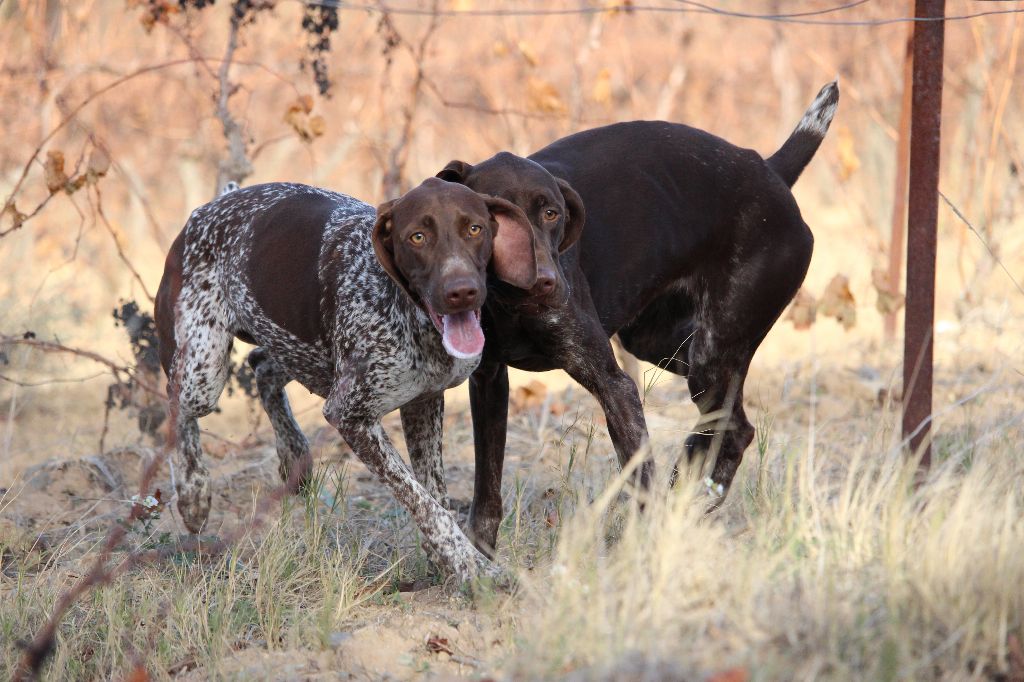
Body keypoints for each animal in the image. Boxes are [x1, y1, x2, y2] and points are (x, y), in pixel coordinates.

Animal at [154, 176, 536, 577]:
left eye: (474, 229)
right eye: (417, 237)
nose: (461, 291)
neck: (410, 314)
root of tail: (213, 205)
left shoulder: (424, 402)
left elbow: (435, 494)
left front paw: (445, 559)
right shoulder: (352, 416)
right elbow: (423, 502)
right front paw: (470, 566)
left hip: (299, 351)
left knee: (262, 365)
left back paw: (293, 453)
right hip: (203, 371)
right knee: (177, 406)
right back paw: (193, 492)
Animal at [440, 80, 839, 552]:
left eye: (551, 214)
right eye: (493, 219)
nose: (546, 283)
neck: (510, 305)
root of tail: (770, 170)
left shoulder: (615, 386)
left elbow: (640, 477)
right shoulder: (488, 382)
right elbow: (487, 484)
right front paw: (478, 554)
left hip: (710, 353)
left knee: (728, 430)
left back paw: (692, 497)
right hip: (671, 347)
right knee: (731, 425)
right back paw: (691, 492)